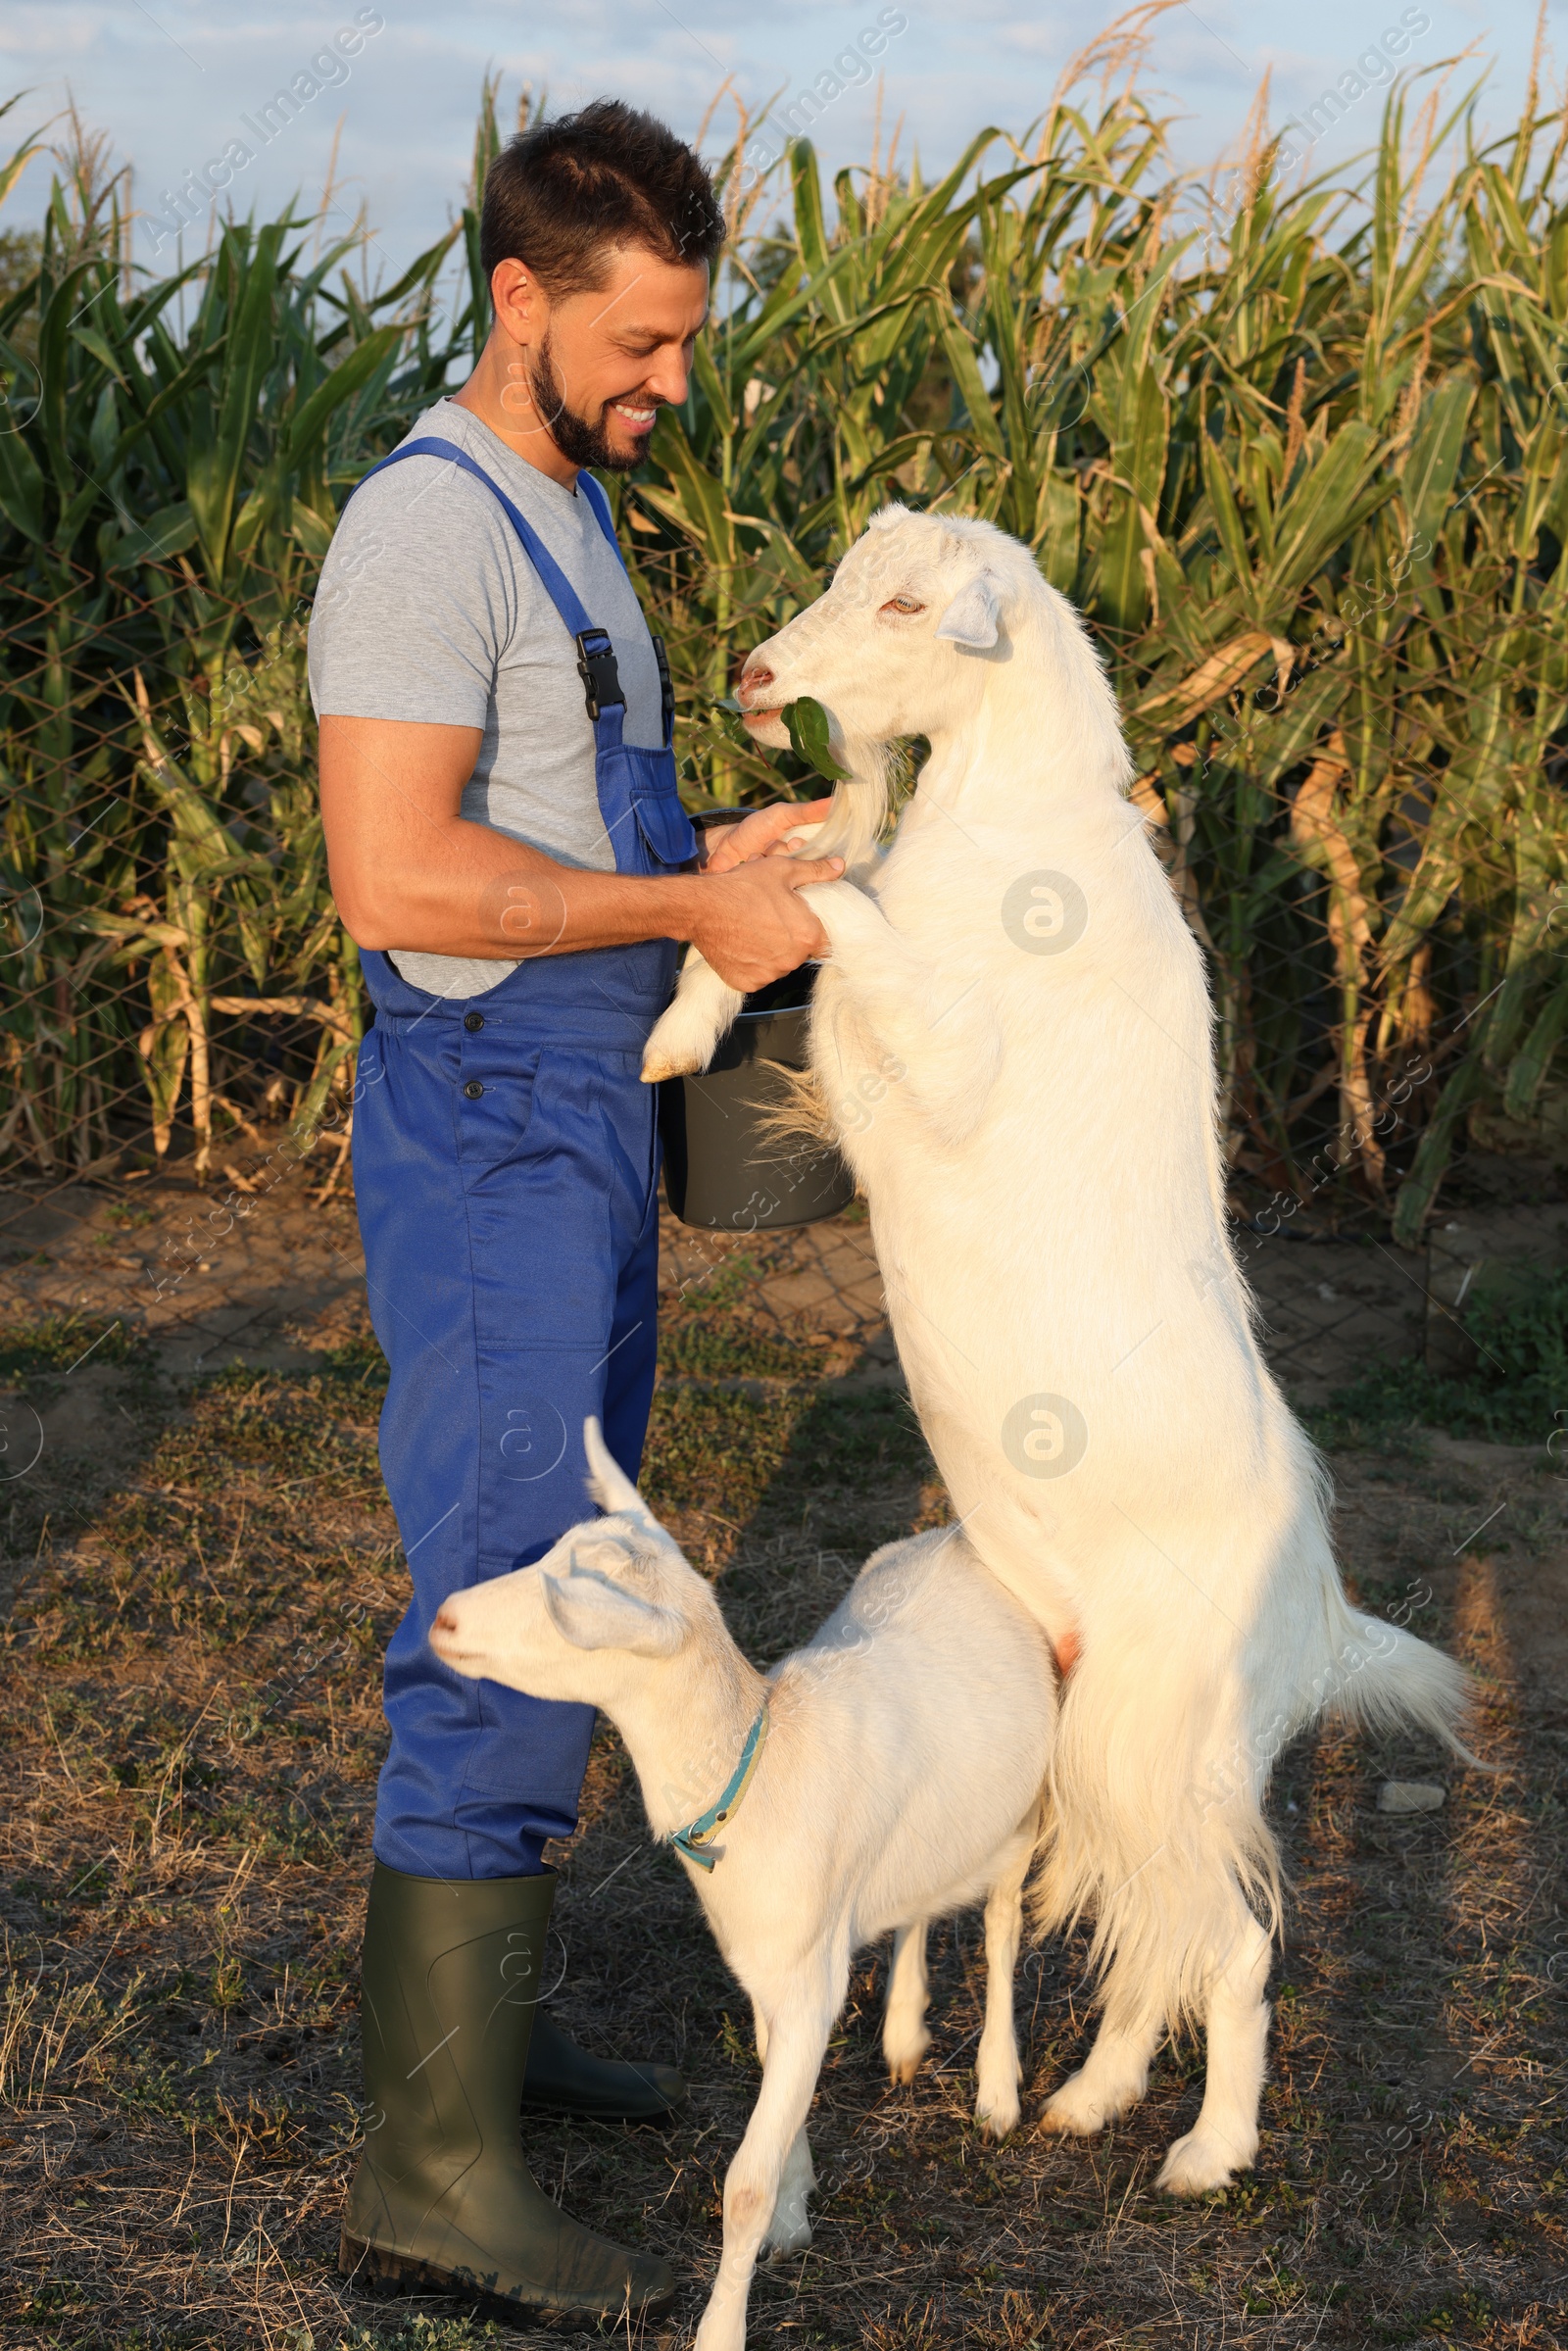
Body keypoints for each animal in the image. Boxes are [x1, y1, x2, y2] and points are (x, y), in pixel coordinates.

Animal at [639, 505, 1476, 2190]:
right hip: (1107, 1729)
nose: (753, 674)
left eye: (906, 602)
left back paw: (1205, 2150)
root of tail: (1326, 1616)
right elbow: (814, 864)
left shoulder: (948, 1053)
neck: (1017, 839)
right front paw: (676, 1032)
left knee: (1235, 1941)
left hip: (1172, 1727)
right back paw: (1090, 2094)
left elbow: (835, 902)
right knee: (1158, 1923)